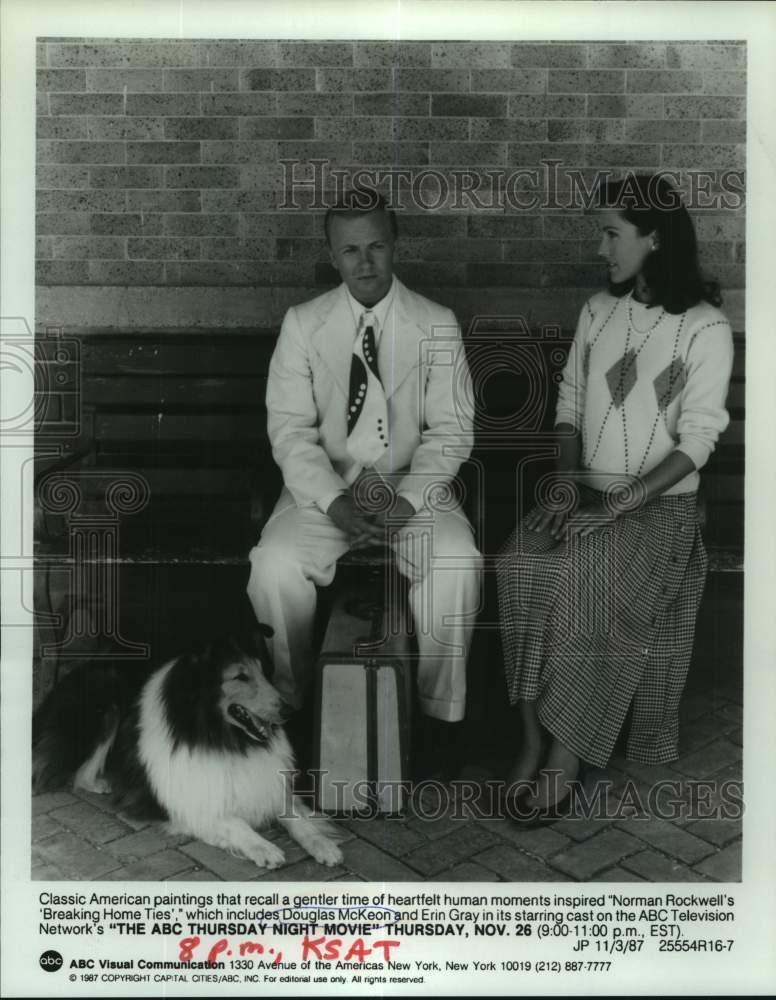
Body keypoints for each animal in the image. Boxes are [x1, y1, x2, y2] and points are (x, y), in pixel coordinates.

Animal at [32, 632, 342, 868]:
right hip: (108, 701)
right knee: (79, 775)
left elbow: (299, 819)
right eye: (240, 676)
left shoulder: (267, 786)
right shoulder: (191, 805)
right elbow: (235, 822)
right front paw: (264, 848)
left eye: (263, 672)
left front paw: (324, 844)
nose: (289, 711)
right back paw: (101, 783)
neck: (218, 738)